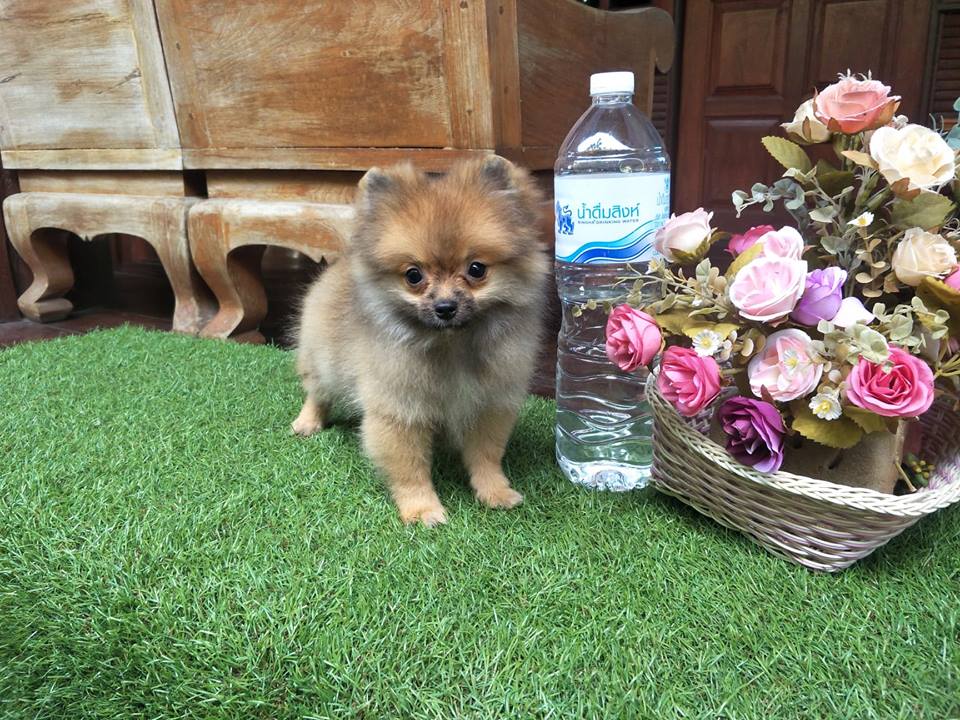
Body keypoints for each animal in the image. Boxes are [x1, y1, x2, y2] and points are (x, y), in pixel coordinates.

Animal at [292, 156, 549, 526]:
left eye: (476, 269)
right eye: (413, 275)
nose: (445, 307)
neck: (452, 345)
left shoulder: (489, 404)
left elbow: (486, 457)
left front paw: (495, 492)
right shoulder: (399, 410)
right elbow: (410, 468)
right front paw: (422, 508)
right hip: (322, 360)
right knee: (317, 392)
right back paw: (308, 421)